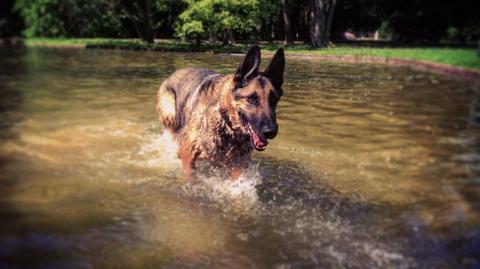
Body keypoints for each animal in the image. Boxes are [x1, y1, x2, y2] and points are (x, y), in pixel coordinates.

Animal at [156, 45, 284, 180]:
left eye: (274, 99)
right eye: (251, 99)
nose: (271, 132)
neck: (225, 120)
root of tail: (174, 73)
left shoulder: (238, 164)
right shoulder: (188, 156)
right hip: (170, 117)